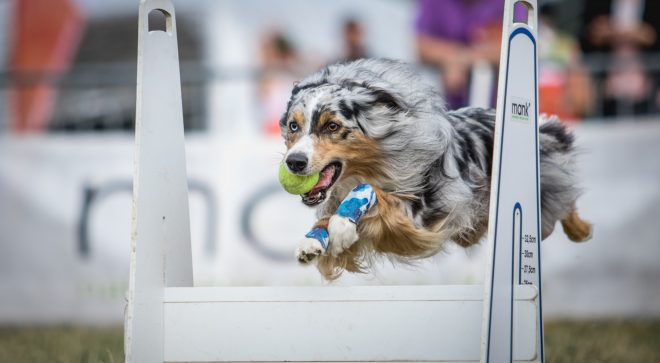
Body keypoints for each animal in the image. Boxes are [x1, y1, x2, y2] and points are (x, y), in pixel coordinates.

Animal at [278, 58, 592, 280]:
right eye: (293, 126)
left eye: (332, 126)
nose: (294, 162)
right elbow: (329, 220)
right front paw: (312, 242)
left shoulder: (418, 218)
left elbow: (375, 196)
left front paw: (342, 225)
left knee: (561, 201)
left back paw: (581, 230)